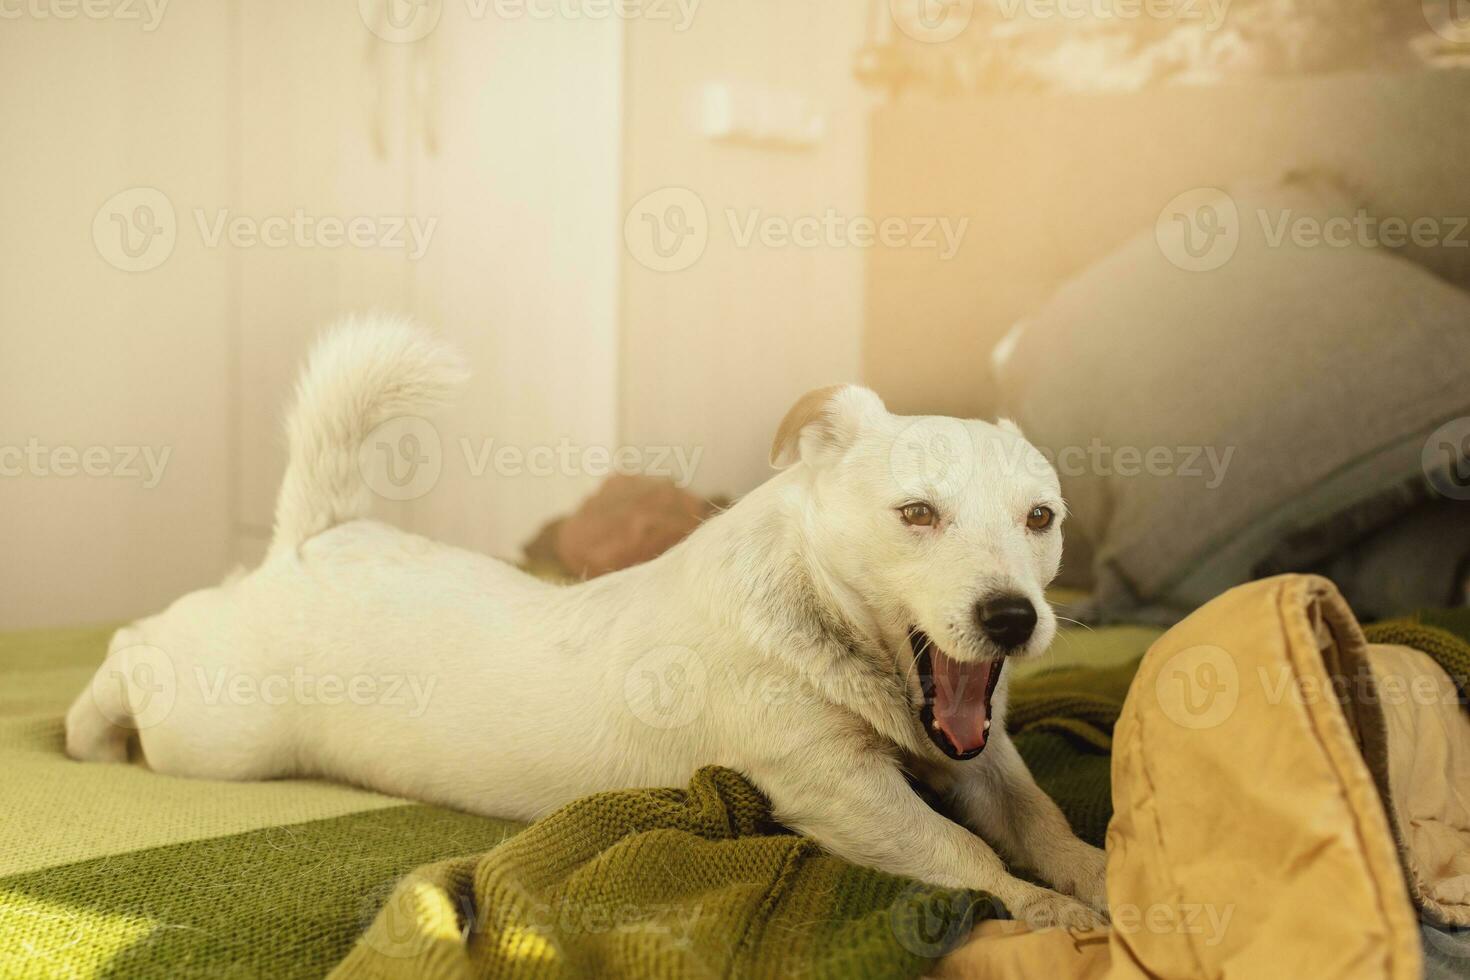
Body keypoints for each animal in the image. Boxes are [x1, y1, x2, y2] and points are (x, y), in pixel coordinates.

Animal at [69, 320, 1105, 928]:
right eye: (916, 514)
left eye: (1040, 519)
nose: (1012, 619)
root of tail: (314, 535)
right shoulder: (844, 793)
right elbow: (963, 854)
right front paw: (1041, 911)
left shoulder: (984, 759)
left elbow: (1043, 821)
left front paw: (1098, 874)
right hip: (217, 732)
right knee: (131, 649)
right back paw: (87, 733)